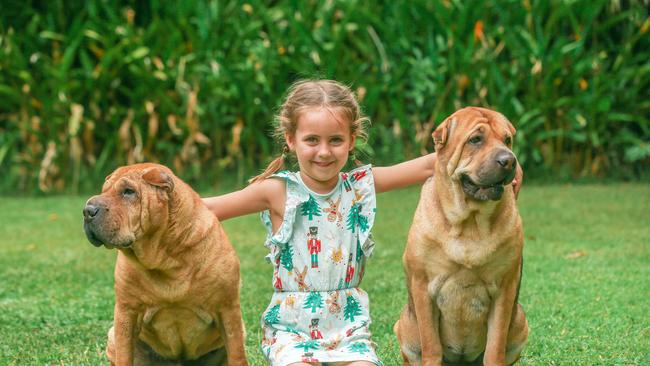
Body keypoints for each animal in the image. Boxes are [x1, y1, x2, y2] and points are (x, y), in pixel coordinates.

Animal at [83, 164, 246, 366]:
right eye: (104, 190)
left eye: (128, 192)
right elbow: (124, 355)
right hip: (113, 335)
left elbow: (237, 354)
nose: (87, 210)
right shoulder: (126, 312)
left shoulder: (228, 309)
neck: (165, 258)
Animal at [394, 107, 528, 364]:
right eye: (475, 140)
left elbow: (495, 346)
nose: (509, 160)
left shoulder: (505, 289)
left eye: (507, 140)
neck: (470, 224)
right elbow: (431, 346)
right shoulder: (422, 286)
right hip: (404, 325)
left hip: (520, 322)